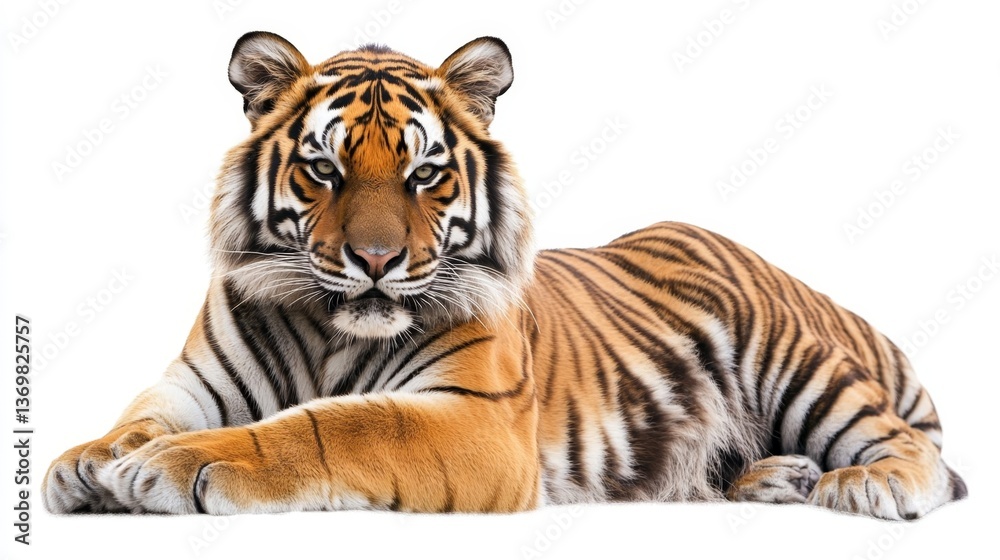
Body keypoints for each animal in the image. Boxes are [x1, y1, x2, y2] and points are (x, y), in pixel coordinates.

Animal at [42, 31, 967, 519]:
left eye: (423, 175)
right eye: (324, 171)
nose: (374, 260)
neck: (329, 331)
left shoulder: (477, 418)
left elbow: (335, 424)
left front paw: (174, 466)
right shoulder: (192, 383)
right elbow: (137, 419)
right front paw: (87, 461)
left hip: (796, 358)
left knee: (914, 446)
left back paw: (866, 484)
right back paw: (777, 477)